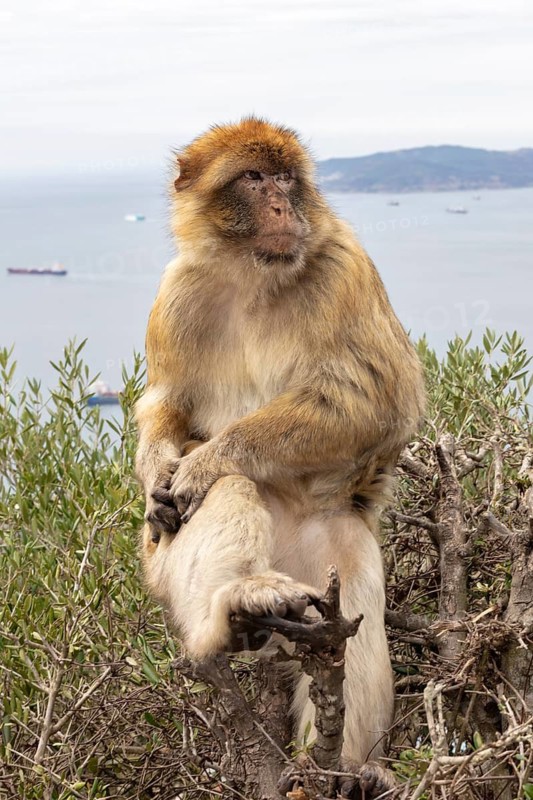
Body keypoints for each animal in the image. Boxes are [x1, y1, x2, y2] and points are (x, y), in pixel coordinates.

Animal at [135, 117, 425, 797]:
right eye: (253, 177)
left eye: (287, 178)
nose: (281, 206)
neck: (253, 276)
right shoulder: (176, 293)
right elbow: (166, 405)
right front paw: (164, 468)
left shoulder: (344, 265)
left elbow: (378, 397)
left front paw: (206, 458)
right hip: (163, 573)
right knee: (218, 501)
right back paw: (235, 608)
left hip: (326, 559)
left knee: (359, 608)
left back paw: (349, 769)